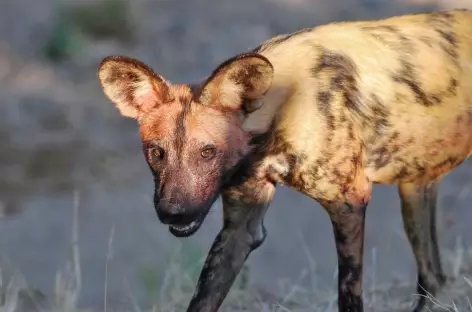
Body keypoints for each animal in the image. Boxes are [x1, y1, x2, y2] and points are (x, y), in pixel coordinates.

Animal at [97, 8, 472, 310]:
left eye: (207, 152)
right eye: (156, 153)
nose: (173, 212)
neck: (284, 102)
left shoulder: (349, 204)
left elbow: (348, 296)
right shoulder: (241, 229)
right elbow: (203, 299)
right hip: (415, 191)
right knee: (434, 280)